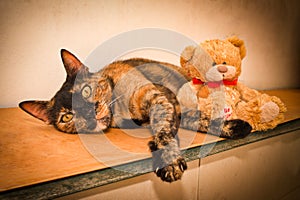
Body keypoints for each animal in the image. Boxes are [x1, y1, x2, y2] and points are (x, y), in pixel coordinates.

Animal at [19, 49, 252, 182]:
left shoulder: (159, 98)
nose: (89, 114)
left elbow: (168, 129)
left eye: (85, 91)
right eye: (66, 118)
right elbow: (196, 120)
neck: (118, 111)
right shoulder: (175, 109)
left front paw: (169, 161)